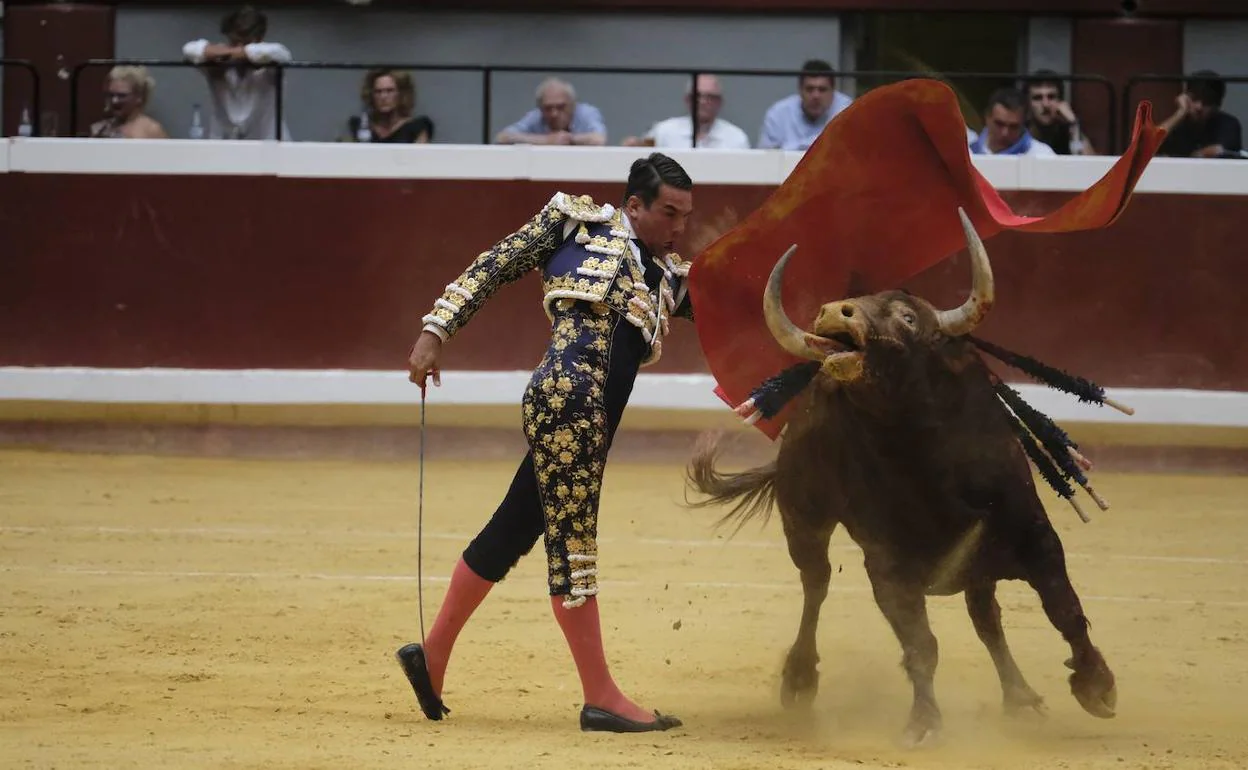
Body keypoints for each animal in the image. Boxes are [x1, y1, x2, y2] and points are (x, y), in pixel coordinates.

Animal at [688, 208, 1118, 743]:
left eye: (908, 318)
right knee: (816, 583)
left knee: (987, 619)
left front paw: (1097, 685)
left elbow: (1065, 610)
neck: (925, 464)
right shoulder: (888, 567)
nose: (834, 313)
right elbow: (921, 645)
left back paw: (1019, 696)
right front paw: (925, 722)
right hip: (804, 519)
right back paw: (799, 679)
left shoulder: (1035, 535)